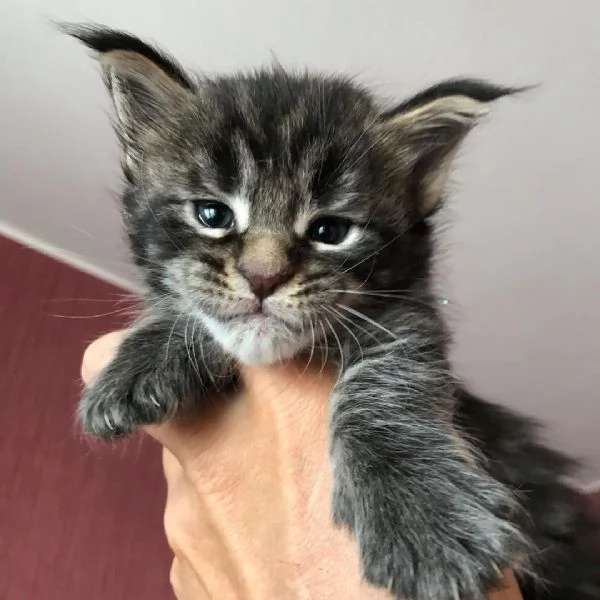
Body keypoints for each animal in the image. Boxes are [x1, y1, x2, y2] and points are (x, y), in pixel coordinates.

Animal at [63, 23, 596, 600]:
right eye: (212, 215)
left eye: (331, 231)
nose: (263, 278)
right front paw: (139, 363)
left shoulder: (410, 323)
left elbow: (384, 387)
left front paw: (425, 518)